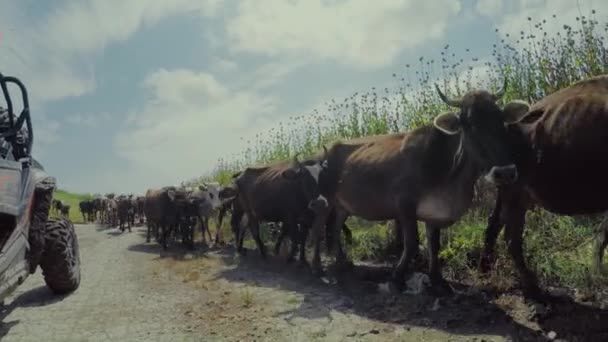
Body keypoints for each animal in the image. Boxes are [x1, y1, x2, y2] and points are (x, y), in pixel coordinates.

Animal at [302, 81, 524, 294]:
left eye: (501, 120)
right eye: (469, 125)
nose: (505, 172)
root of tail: (324, 149)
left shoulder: (434, 212)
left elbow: (434, 245)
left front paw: (438, 281)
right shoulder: (404, 205)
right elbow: (411, 244)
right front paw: (397, 278)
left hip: (342, 205)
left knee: (334, 228)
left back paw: (343, 262)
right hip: (324, 201)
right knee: (318, 229)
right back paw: (316, 267)